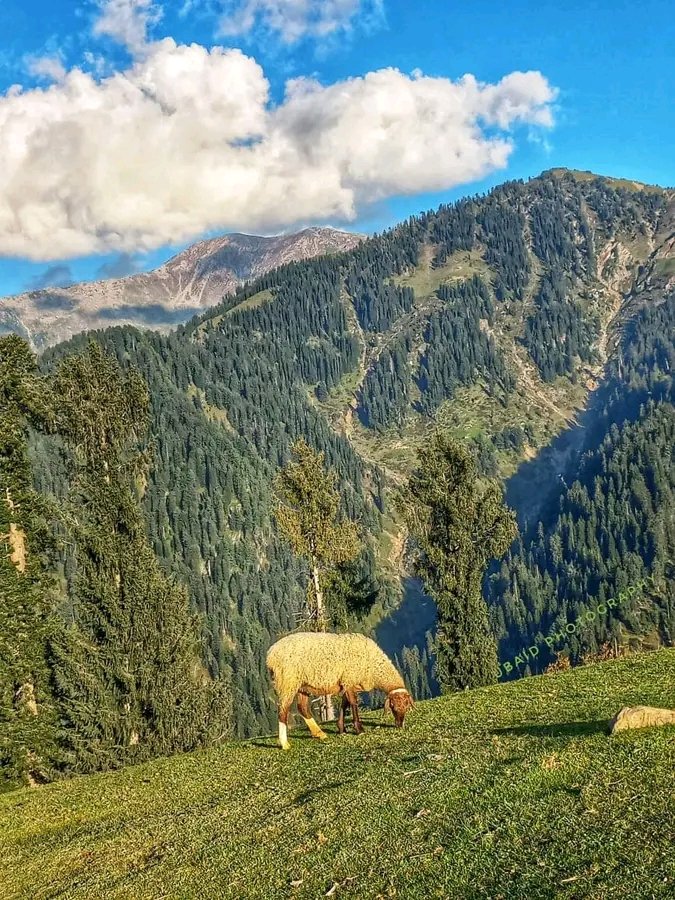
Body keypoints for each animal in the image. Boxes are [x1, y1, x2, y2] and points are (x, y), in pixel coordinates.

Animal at [264, 628, 412, 748]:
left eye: (406, 706)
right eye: (393, 706)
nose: (400, 725)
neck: (374, 667)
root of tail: (270, 654)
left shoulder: (346, 684)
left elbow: (344, 704)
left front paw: (341, 729)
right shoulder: (349, 679)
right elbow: (353, 703)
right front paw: (359, 729)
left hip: (302, 685)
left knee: (302, 707)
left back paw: (320, 733)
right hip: (287, 681)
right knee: (283, 710)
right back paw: (285, 743)